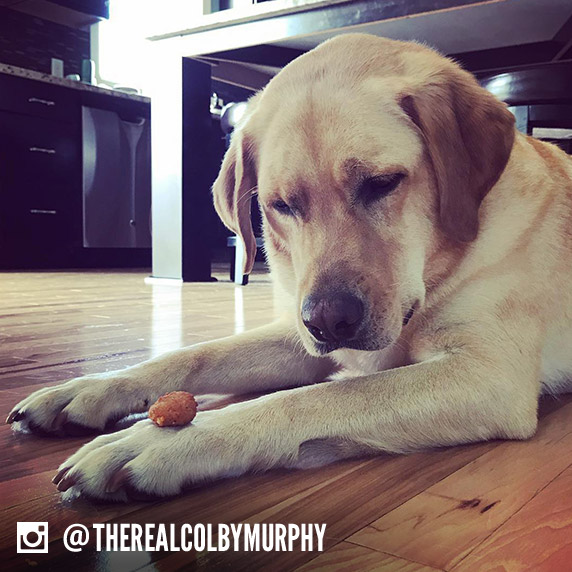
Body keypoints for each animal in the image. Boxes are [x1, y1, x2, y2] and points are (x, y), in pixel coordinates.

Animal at [5, 34, 572, 500]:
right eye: (281, 205)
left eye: (382, 183)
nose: (327, 322)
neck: (438, 273)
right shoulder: (298, 333)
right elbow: (195, 354)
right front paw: (89, 387)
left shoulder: (487, 376)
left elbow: (317, 399)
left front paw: (165, 442)